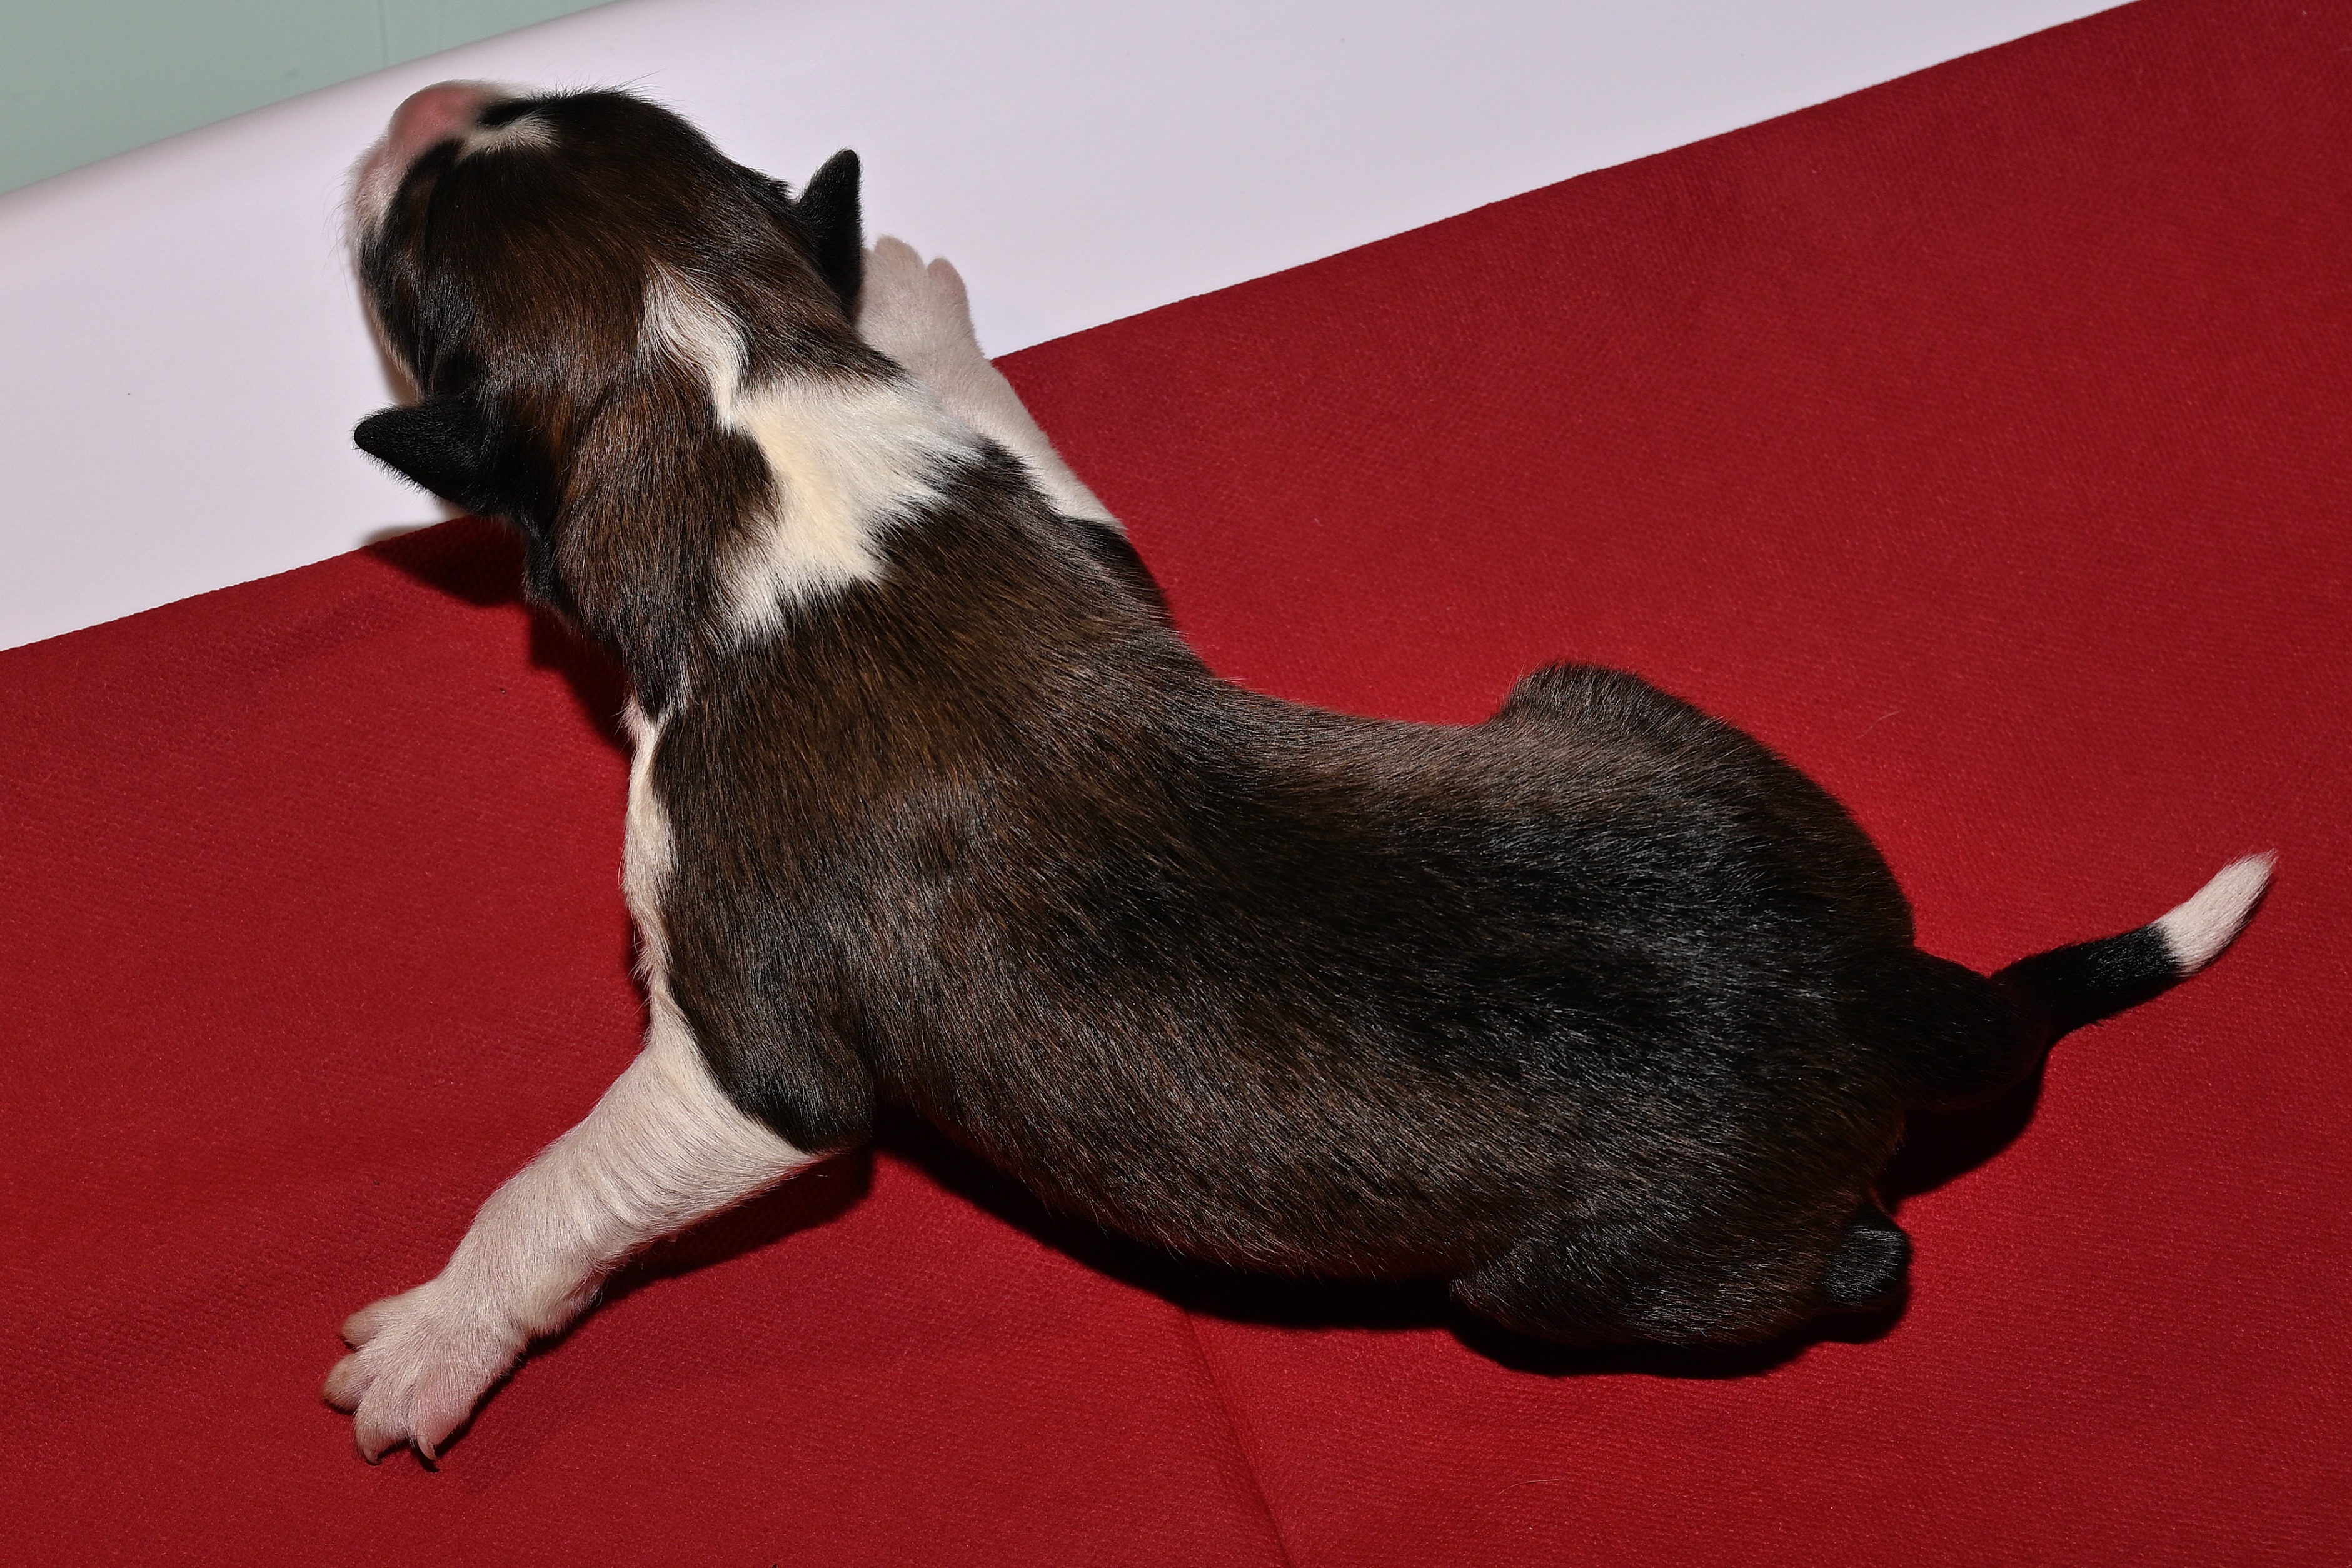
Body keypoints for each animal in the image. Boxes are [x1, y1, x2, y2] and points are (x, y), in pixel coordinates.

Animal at [325, 81, 2271, 1465]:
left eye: (402, 257)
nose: (425, 97)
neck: (724, 406)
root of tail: (1897, 990)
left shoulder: (745, 1056)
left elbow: (565, 1177)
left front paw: (429, 1336)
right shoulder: (1069, 530)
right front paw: (912, 295)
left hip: (1581, 1280)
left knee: (1862, 1268)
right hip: (1611, 703)